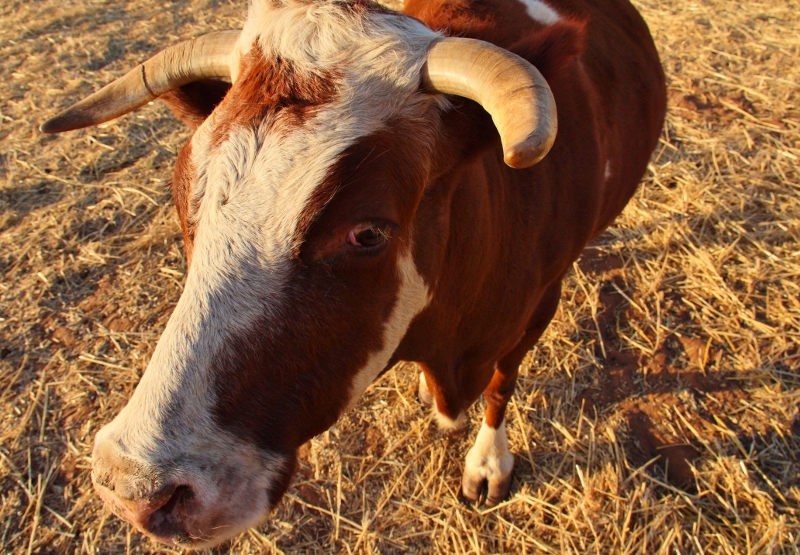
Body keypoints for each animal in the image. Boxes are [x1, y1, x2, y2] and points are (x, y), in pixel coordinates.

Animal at [41, 0, 666, 548]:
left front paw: (489, 463)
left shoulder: (538, 306)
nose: (133, 488)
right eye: (181, 199)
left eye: (367, 234)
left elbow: (501, 383)